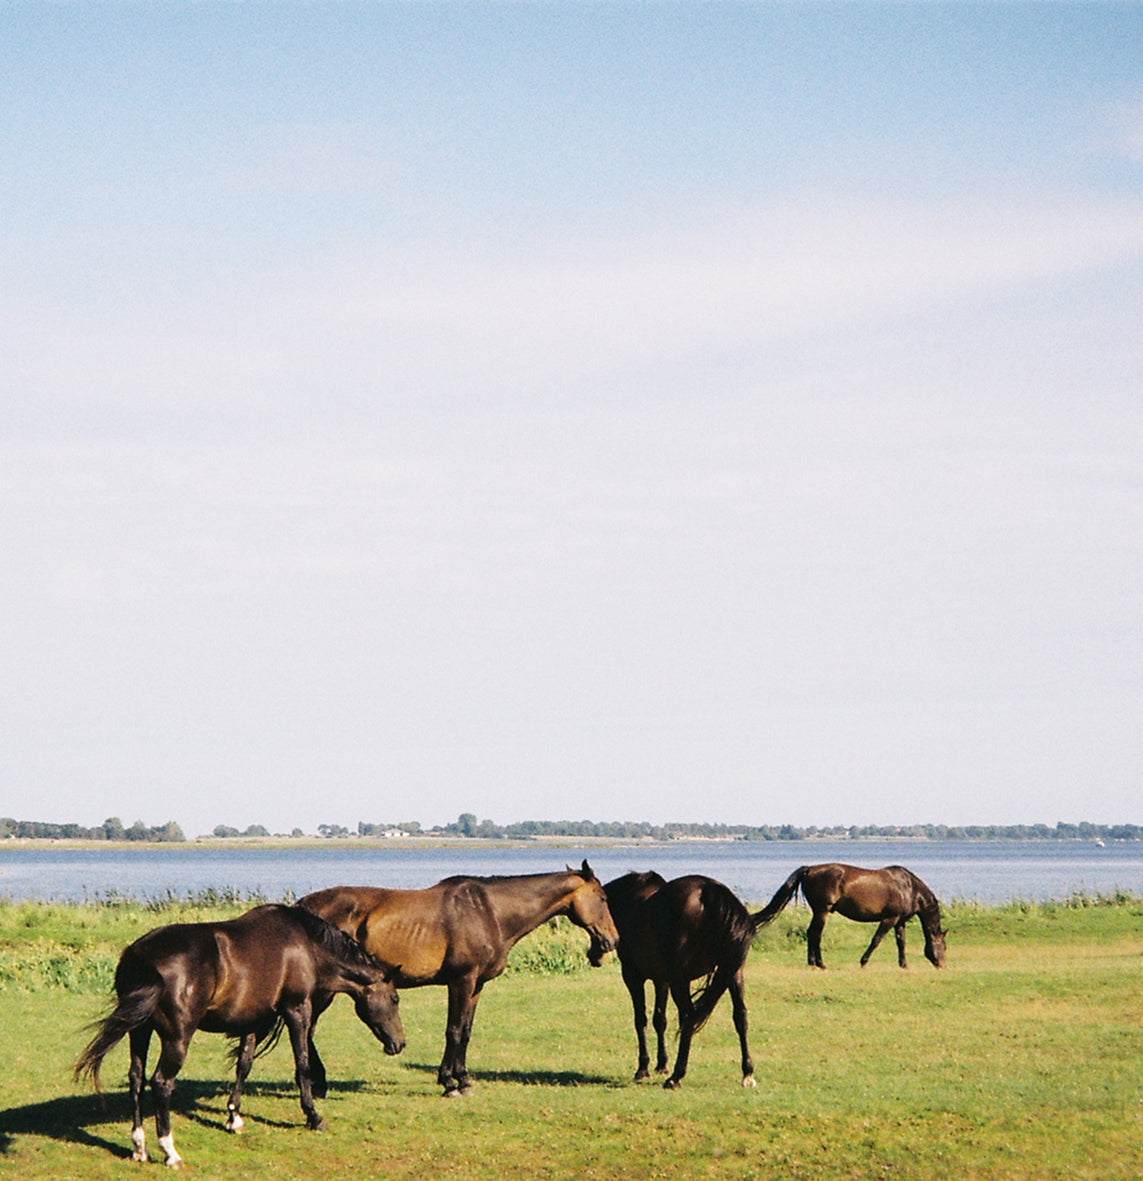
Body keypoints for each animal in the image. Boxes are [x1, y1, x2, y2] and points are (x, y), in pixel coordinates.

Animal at [74, 904, 405, 1167]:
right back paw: (169, 1151)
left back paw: (139, 1147)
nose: (399, 1043)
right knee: (161, 1083)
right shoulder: (297, 1010)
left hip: (139, 1032)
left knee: (136, 1078)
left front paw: (233, 1116)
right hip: (176, 1038)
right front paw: (313, 1117)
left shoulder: (253, 1020)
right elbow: (303, 1066)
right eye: (395, 998)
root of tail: (139, 954)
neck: (307, 945)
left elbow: (243, 1065)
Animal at [299, 860, 619, 1096]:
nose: (612, 941)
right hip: (325, 990)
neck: (490, 912)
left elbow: (465, 1031)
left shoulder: (476, 985)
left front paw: (463, 1080)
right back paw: (318, 1083)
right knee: (308, 1029)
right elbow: (453, 1030)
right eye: (603, 898)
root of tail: (302, 908)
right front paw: (449, 1083)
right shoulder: (461, 981)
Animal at [604, 871, 759, 1090]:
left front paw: (643, 1068)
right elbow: (659, 1019)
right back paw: (747, 1072)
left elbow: (641, 1019)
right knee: (740, 1016)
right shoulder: (661, 980)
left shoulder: (633, 977)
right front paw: (661, 1064)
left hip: (681, 981)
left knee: (689, 1017)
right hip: (733, 974)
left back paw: (676, 1076)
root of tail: (708, 892)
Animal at [754, 863, 947, 969]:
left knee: (811, 933)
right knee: (816, 934)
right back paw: (820, 964)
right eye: (944, 947)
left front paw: (904, 965)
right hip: (822, 911)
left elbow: (901, 943)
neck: (908, 887)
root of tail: (810, 869)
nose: (942, 965)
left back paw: (812, 963)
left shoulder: (900, 921)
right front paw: (863, 962)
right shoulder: (889, 919)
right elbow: (876, 940)